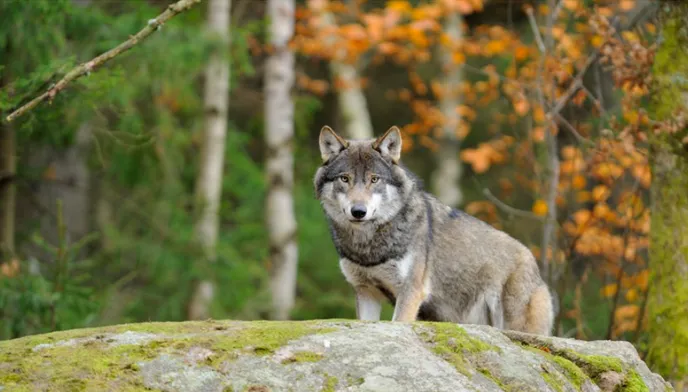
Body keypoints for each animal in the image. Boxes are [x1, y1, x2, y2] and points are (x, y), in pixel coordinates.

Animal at [312, 125, 552, 334]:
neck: (368, 247)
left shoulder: (410, 292)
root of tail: (533, 262)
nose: (358, 211)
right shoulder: (366, 292)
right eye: (345, 179)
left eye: (374, 179)